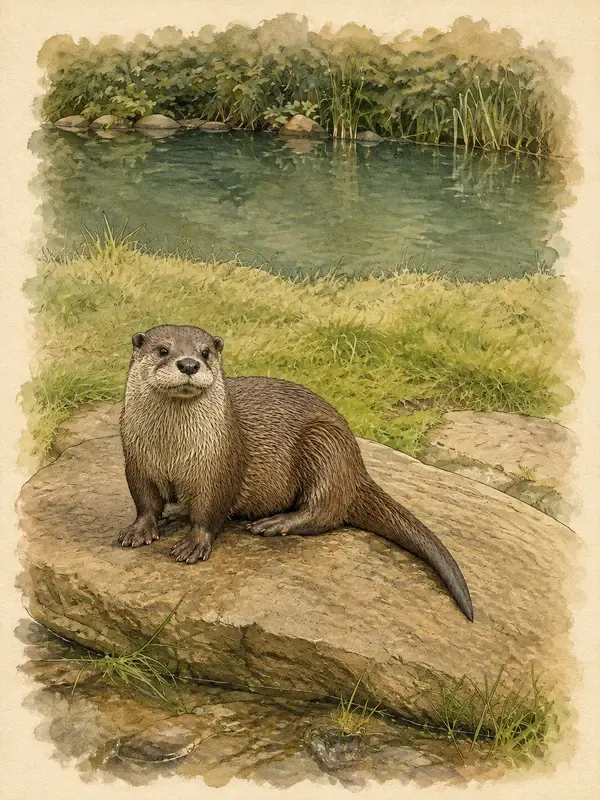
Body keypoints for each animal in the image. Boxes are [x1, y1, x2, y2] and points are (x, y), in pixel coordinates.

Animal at [119, 324, 474, 621]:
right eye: (163, 350)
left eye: (205, 352)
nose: (190, 364)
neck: (172, 450)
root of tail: (358, 469)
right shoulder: (135, 461)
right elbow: (145, 502)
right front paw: (138, 530)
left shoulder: (219, 466)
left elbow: (209, 510)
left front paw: (194, 544)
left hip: (324, 445)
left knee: (326, 512)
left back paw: (275, 523)